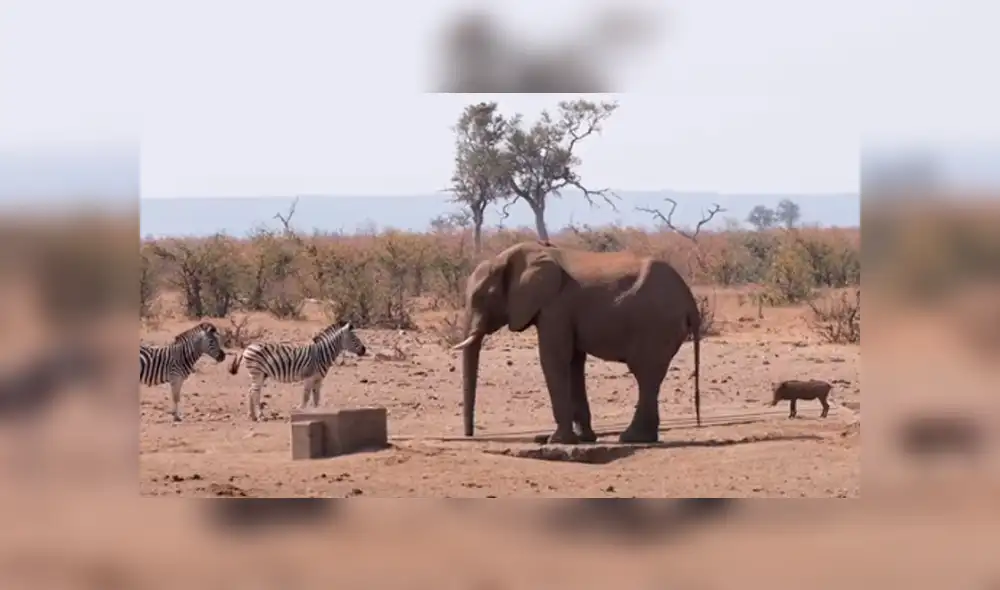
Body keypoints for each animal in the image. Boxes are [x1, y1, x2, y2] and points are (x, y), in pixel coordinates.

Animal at [451, 240, 702, 445]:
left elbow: (554, 358)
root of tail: (690, 300)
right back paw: (643, 438)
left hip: (655, 326)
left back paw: (631, 438)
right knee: (650, 377)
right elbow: (573, 362)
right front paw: (583, 439)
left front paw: (557, 441)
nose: (469, 435)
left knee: (645, 374)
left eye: (482, 297)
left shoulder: (555, 308)